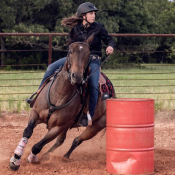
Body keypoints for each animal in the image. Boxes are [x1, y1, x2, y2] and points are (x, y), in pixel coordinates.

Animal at [9, 33, 115, 171]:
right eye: (70, 51)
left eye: (88, 54)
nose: (77, 76)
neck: (58, 95)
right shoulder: (35, 113)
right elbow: (27, 132)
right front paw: (15, 159)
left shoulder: (59, 126)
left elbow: (38, 145)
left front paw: (32, 158)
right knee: (61, 141)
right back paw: (47, 156)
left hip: (96, 125)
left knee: (77, 140)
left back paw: (63, 156)